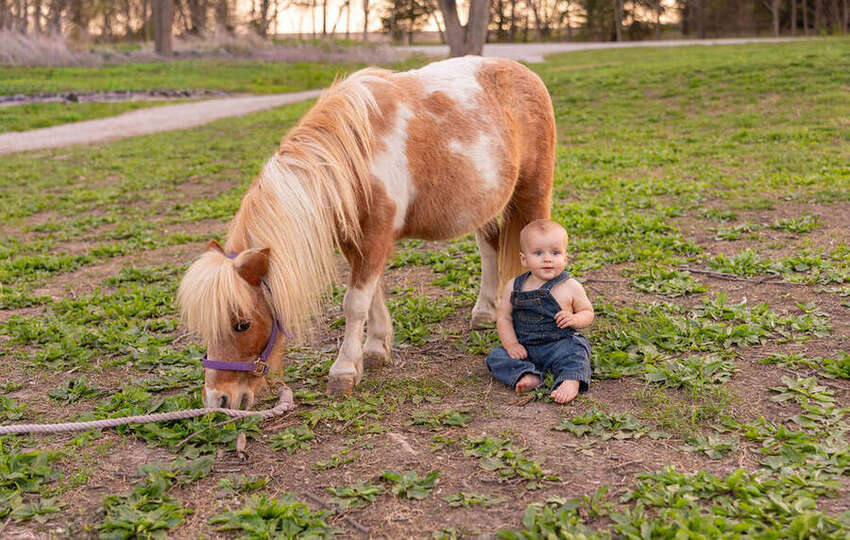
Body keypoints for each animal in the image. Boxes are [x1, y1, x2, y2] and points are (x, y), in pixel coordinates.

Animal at [177, 56, 555, 409]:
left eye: (241, 324)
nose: (217, 400)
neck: (352, 159)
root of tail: (523, 72)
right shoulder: (356, 240)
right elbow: (371, 297)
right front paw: (374, 349)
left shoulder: (375, 237)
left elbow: (354, 303)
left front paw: (343, 370)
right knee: (489, 249)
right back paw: (484, 312)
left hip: (533, 194)